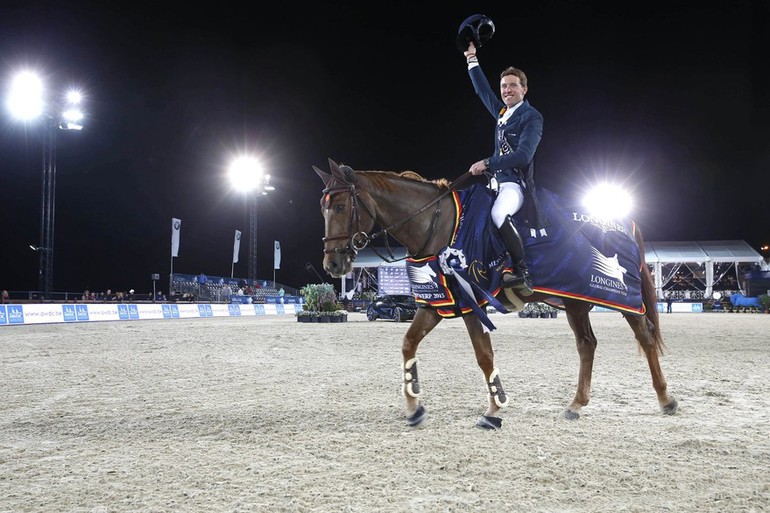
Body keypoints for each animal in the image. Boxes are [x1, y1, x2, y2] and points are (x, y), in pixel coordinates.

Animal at [316, 159, 676, 428]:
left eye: (339, 206)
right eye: (323, 208)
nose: (332, 263)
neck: (437, 223)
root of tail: (625, 223)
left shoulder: (470, 301)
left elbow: (483, 355)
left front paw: (494, 410)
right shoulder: (437, 302)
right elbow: (408, 343)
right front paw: (414, 407)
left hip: (621, 298)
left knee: (644, 336)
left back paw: (665, 398)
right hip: (576, 300)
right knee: (587, 344)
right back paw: (576, 405)